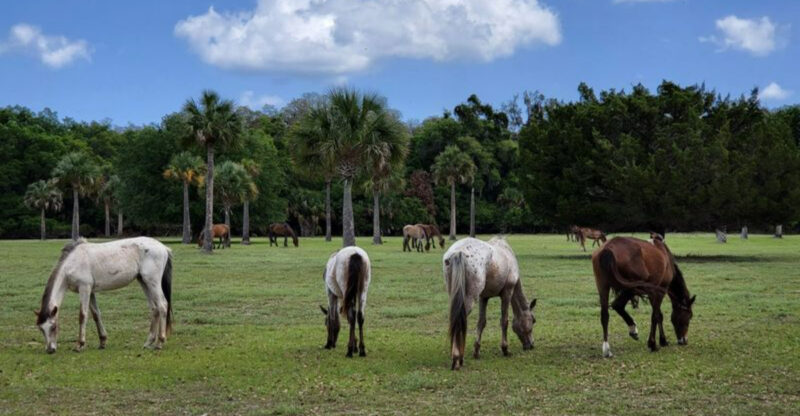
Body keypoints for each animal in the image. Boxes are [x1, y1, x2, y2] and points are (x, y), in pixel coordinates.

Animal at [35, 237, 173, 353]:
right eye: (41, 329)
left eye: (53, 327)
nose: (50, 350)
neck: (72, 263)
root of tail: (164, 248)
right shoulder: (91, 291)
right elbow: (96, 314)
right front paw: (102, 342)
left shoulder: (84, 288)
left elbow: (82, 315)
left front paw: (79, 344)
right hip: (144, 282)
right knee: (154, 308)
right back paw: (148, 342)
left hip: (152, 282)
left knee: (162, 306)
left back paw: (160, 343)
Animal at [443, 237, 537, 370]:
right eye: (533, 320)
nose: (531, 345)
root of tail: (458, 252)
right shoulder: (507, 293)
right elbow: (504, 321)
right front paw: (505, 349)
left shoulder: (484, 297)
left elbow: (481, 322)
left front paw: (476, 351)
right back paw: (457, 358)